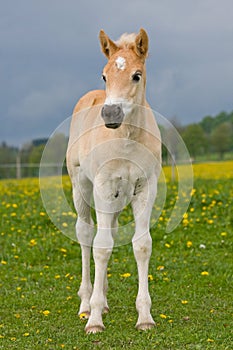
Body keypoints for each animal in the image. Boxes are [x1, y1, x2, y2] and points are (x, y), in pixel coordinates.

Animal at [65, 28, 160, 334]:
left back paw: (103, 298)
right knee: (86, 234)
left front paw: (145, 317)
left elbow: (141, 245)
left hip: (119, 196)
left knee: (111, 232)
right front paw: (94, 321)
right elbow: (101, 246)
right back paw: (86, 304)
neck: (127, 138)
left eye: (136, 75)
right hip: (81, 187)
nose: (110, 114)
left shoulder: (145, 187)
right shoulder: (103, 187)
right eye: (104, 75)